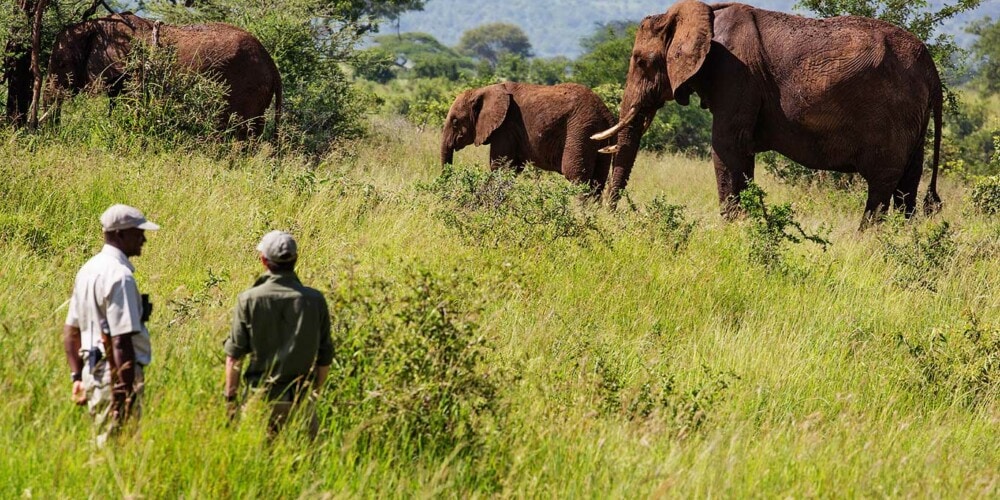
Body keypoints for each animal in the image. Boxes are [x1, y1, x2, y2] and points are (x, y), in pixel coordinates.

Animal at [45, 12, 282, 137]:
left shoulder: (132, 69)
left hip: (247, 88)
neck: (97, 24)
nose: (53, 131)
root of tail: (271, 63)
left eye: (62, 63)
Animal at [444, 82, 616, 197]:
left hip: (581, 130)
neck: (483, 90)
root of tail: (605, 112)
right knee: (598, 180)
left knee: (577, 176)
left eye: (455, 121)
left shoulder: (506, 127)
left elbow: (500, 166)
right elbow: (512, 168)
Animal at [592, 0, 944, 224]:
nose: (610, 216)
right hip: (914, 120)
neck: (703, 13)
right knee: (907, 189)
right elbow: (742, 155)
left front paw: (730, 228)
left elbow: (726, 147)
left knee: (882, 186)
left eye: (642, 61)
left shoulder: (736, 73)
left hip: (894, 115)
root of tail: (932, 68)